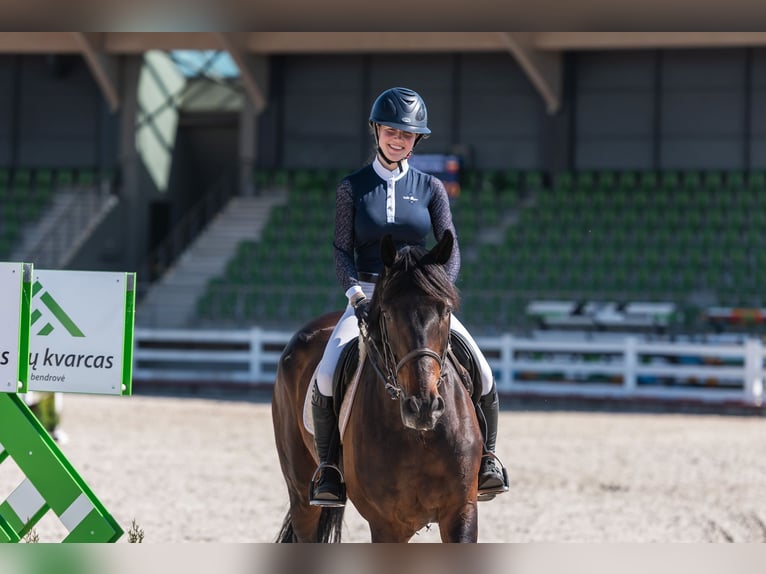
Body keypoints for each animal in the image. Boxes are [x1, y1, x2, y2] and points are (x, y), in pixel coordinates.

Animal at [272, 231, 484, 544]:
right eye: (388, 313)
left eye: (445, 310)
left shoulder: (461, 510)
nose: (423, 408)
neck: (419, 437)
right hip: (300, 492)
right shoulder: (387, 524)